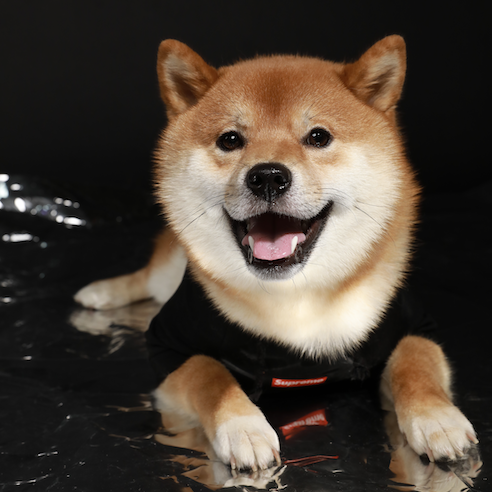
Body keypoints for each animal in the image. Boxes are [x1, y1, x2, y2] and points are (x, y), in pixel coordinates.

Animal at [75, 35, 478, 471]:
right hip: (168, 271)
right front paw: (242, 427)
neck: (296, 298)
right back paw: (101, 292)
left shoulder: (415, 324)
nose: (267, 176)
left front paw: (438, 420)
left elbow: (416, 362)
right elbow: (208, 372)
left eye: (318, 137)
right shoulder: (168, 346)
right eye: (230, 139)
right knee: (148, 277)